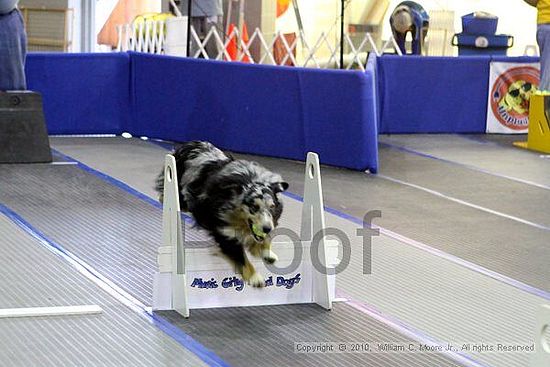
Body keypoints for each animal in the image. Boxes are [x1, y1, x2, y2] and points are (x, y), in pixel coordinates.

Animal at [156, 141, 288, 288]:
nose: (267, 228)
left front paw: (267, 253)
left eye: (272, 207)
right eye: (254, 207)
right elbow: (240, 256)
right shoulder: (223, 232)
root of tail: (189, 144)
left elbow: (263, 239)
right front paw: (255, 277)